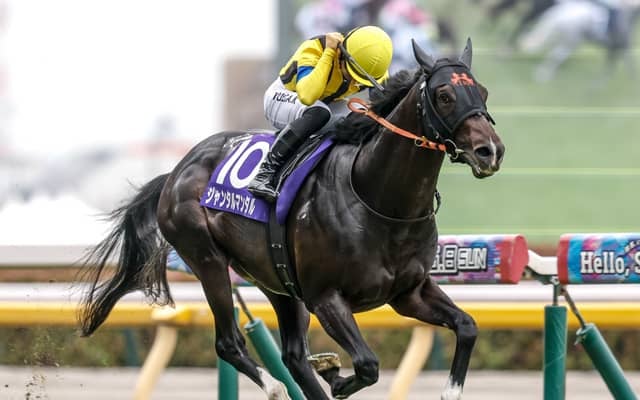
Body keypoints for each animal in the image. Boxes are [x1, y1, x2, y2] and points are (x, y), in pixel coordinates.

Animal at [77, 38, 504, 400]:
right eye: (444, 95)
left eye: (482, 92)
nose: (490, 151)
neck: (379, 201)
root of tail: (176, 171)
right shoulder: (325, 297)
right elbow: (367, 364)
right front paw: (336, 376)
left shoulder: (408, 292)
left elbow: (467, 326)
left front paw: (450, 390)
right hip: (207, 259)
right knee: (231, 343)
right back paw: (274, 387)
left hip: (276, 280)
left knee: (294, 356)